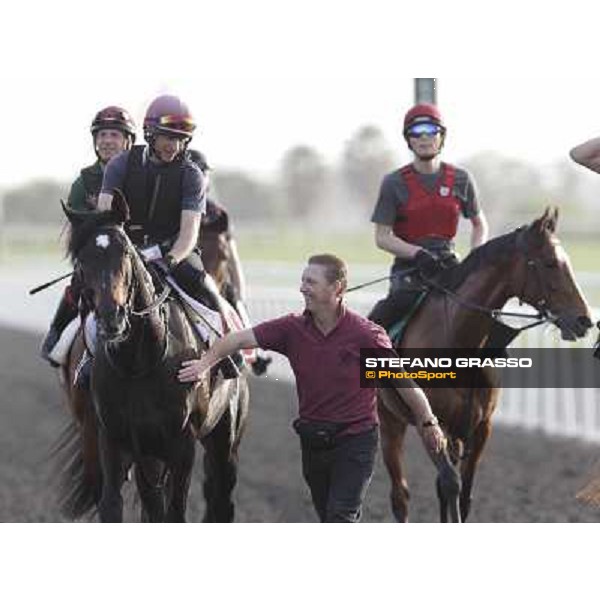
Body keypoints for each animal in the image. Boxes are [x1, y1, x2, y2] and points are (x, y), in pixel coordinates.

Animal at [378, 209, 592, 524]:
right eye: (550, 263)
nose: (584, 320)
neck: (457, 342)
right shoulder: (428, 420)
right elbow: (451, 483)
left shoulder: (480, 426)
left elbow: (464, 494)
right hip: (390, 421)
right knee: (400, 495)